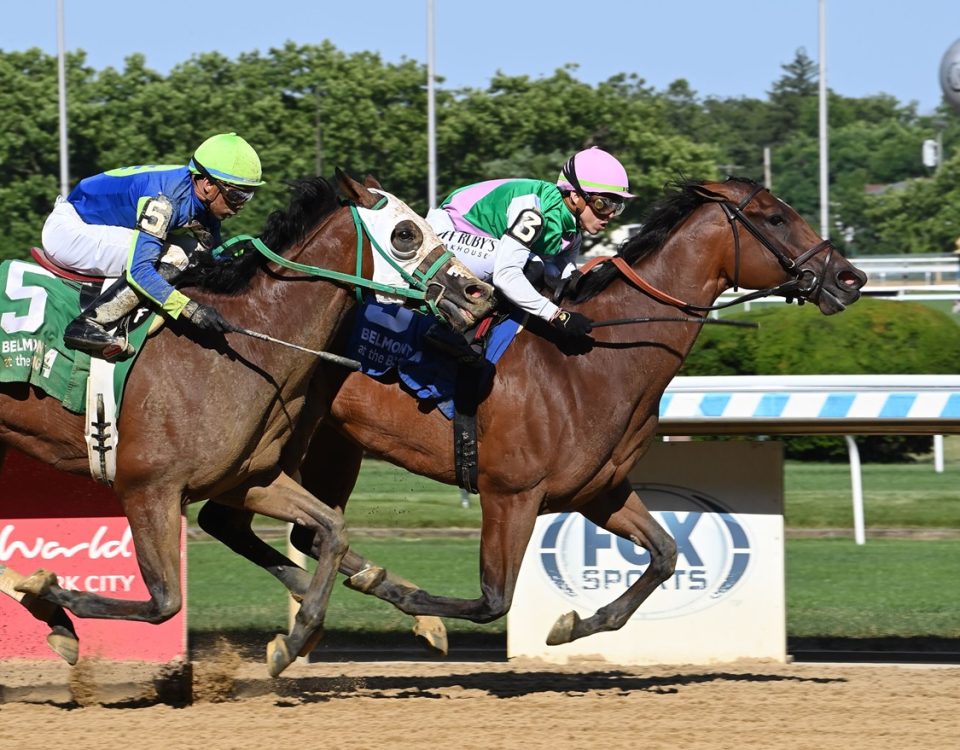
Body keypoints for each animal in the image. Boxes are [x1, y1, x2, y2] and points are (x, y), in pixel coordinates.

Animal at [0, 170, 496, 676]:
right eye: (405, 234)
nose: (479, 295)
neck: (246, 342)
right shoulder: (147, 488)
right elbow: (165, 602)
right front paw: (44, 595)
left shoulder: (246, 479)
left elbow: (332, 529)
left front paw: (296, 637)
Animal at [197, 176, 872, 656]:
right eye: (776, 217)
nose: (850, 277)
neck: (594, 358)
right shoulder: (511, 494)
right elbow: (493, 599)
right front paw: (423, 608)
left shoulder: (599, 491)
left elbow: (665, 553)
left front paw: (575, 623)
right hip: (291, 445)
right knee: (252, 523)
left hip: (328, 446)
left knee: (275, 529)